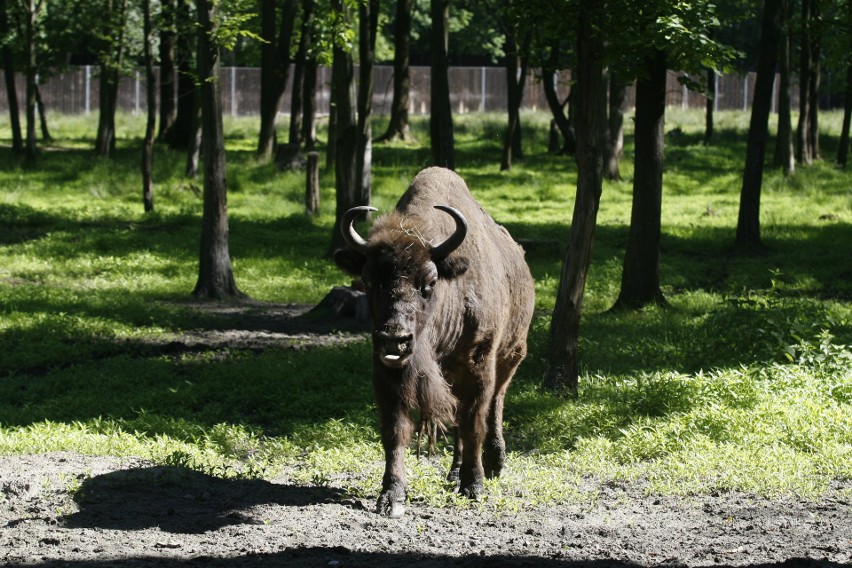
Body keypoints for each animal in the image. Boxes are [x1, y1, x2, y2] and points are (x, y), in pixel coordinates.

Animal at [332, 166, 532, 516]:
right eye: (368, 281)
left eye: (429, 282)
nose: (394, 339)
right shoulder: (387, 371)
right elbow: (396, 430)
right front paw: (391, 496)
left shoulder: (479, 363)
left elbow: (474, 421)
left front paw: (474, 485)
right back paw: (453, 473)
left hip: (511, 356)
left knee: (495, 403)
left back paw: (493, 464)